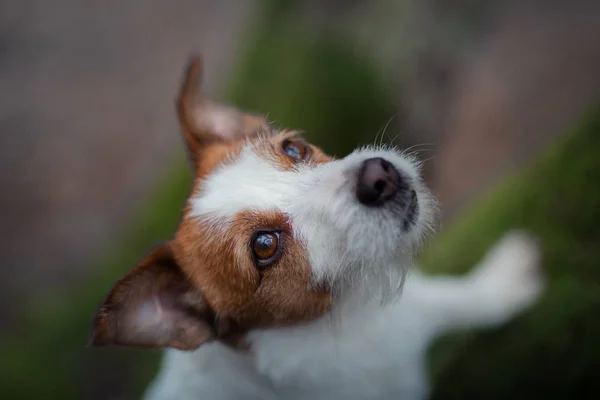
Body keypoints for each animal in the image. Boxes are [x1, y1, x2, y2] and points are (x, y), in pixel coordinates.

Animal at [89, 57, 544, 400]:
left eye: (294, 148)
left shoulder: (413, 312)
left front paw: (500, 284)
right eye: (264, 245)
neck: (344, 322)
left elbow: (457, 299)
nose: (379, 177)